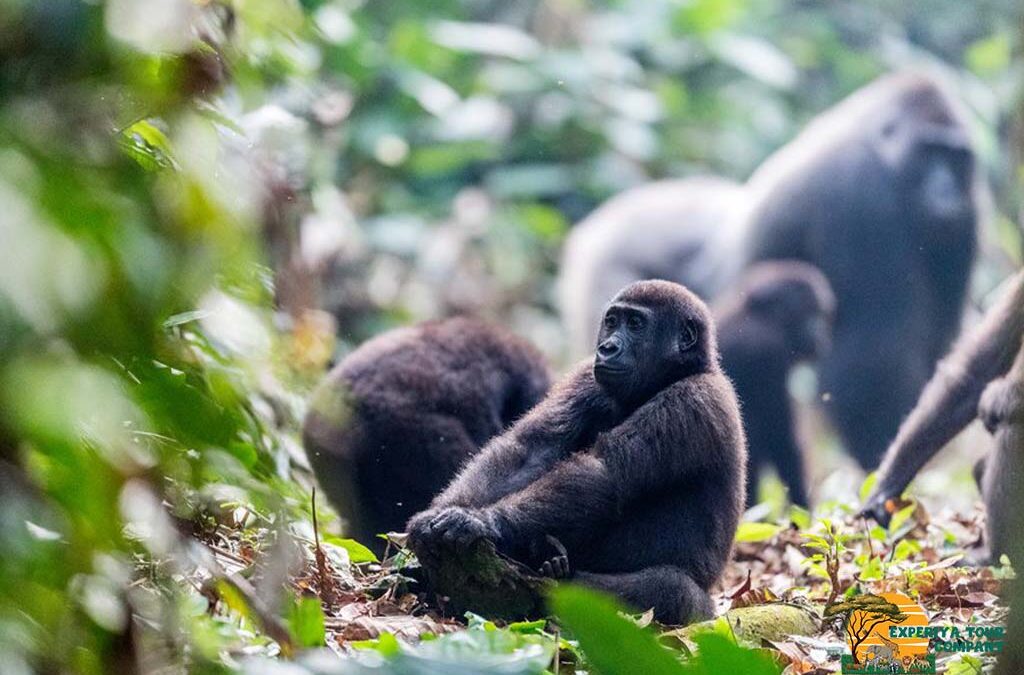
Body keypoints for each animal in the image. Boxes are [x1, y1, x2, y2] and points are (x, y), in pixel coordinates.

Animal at [407, 280, 747, 625]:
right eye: (612, 321)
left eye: (636, 324)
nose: (607, 348)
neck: (682, 371)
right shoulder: (586, 377)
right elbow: (530, 448)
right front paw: (438, 515)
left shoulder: (693, 401)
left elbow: (602, 473)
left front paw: (483, 521)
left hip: (704, 613)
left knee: (671, 588)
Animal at [743, 71, 983, 471]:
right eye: (928, 152)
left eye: (956, 158)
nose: (947, 192)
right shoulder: (859, 190)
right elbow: (874, 358)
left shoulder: (969, 215)